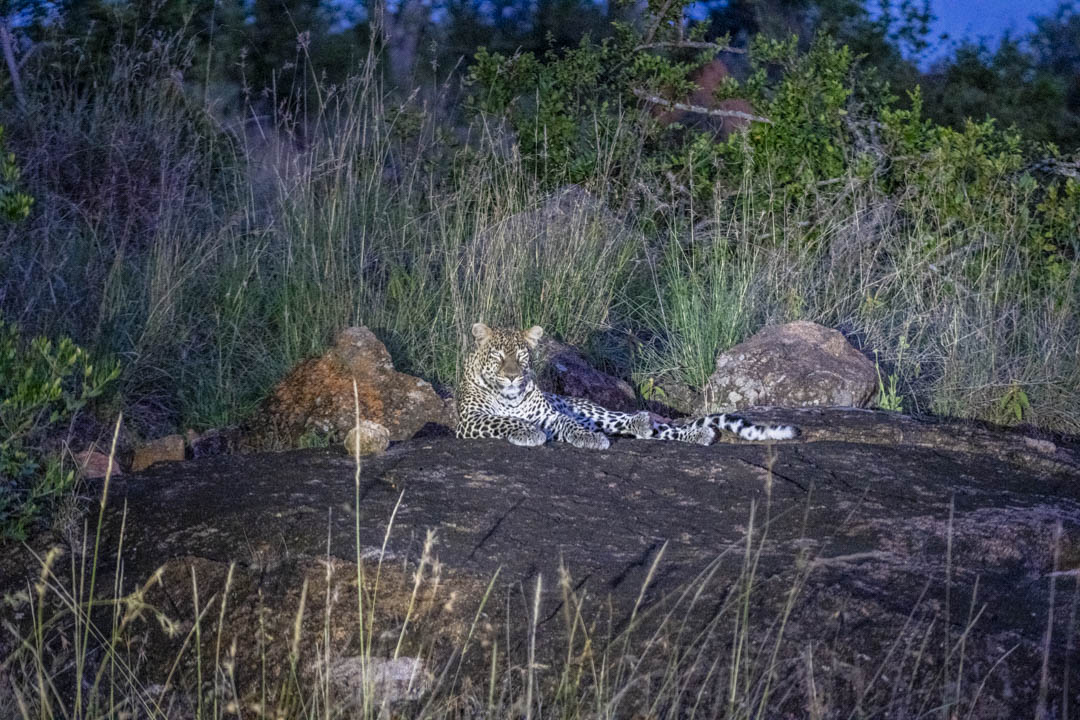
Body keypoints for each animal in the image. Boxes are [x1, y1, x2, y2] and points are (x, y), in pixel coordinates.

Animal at [455, 322, 799, 449]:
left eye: (522, 357)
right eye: (498, 357)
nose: (513, 377)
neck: (510, 396)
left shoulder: (552, 415)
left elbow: (568, 424)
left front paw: (588, 438)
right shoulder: (469, 420)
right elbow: (504, 420)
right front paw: (527, 432)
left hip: (594, 411)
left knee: (648, 426)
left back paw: (670, 428)